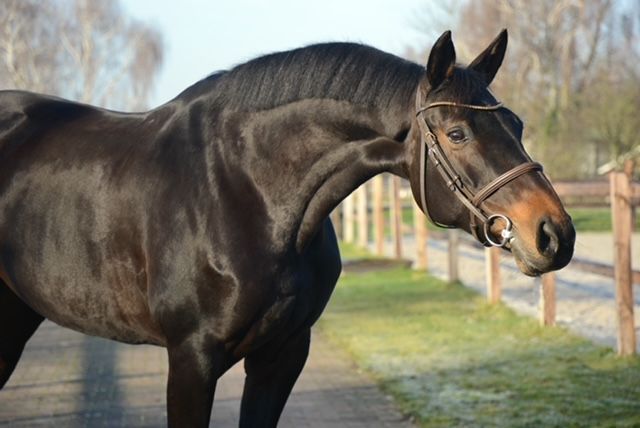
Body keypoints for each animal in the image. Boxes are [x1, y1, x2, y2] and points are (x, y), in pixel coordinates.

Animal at [0, 29, 574, 427]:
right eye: (457, 133)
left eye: (517, 124)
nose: (554, 233)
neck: (246, 191)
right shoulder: (190, 359)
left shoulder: (281, 356)